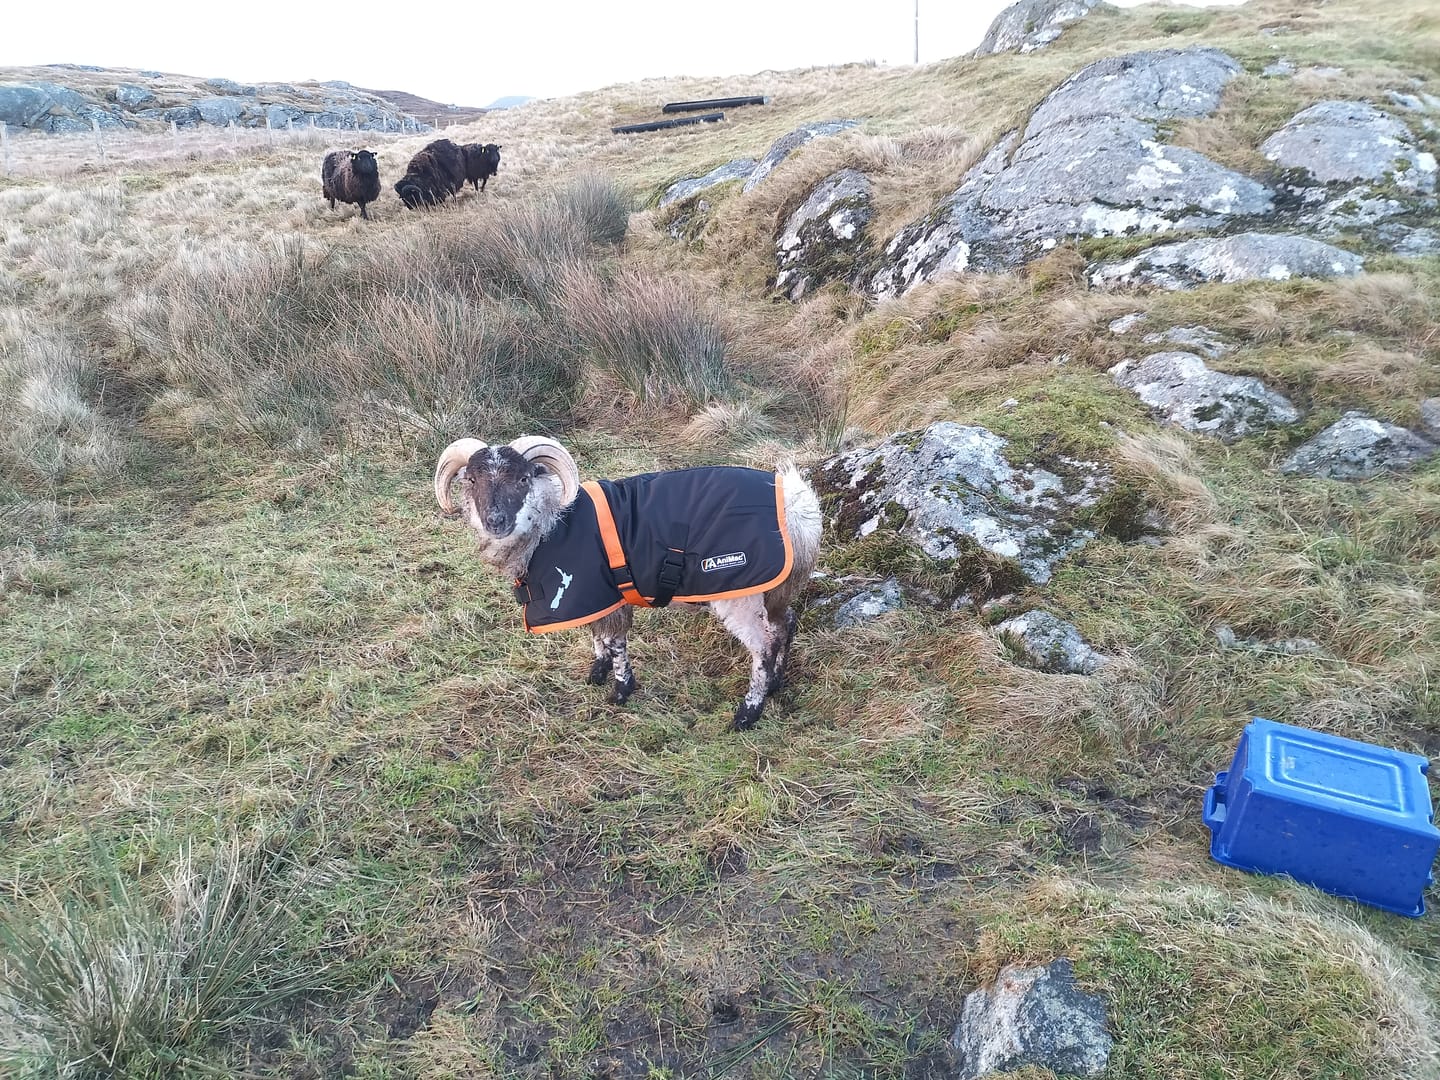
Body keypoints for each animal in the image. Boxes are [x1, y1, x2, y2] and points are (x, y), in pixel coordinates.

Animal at [433, 435, 823, 730]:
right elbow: (596, 634)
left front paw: (620, 691)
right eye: (471, 481)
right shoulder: (590, 593)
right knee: (785, 624)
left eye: (523, 479)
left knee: (763, 646)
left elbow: (615, 641)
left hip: (738, 590)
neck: (551, 523)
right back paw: (775, 683)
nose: (495, 521)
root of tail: (794, 506)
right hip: (775, 588)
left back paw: (748, 713)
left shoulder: (600, 591)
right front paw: (597, 671)